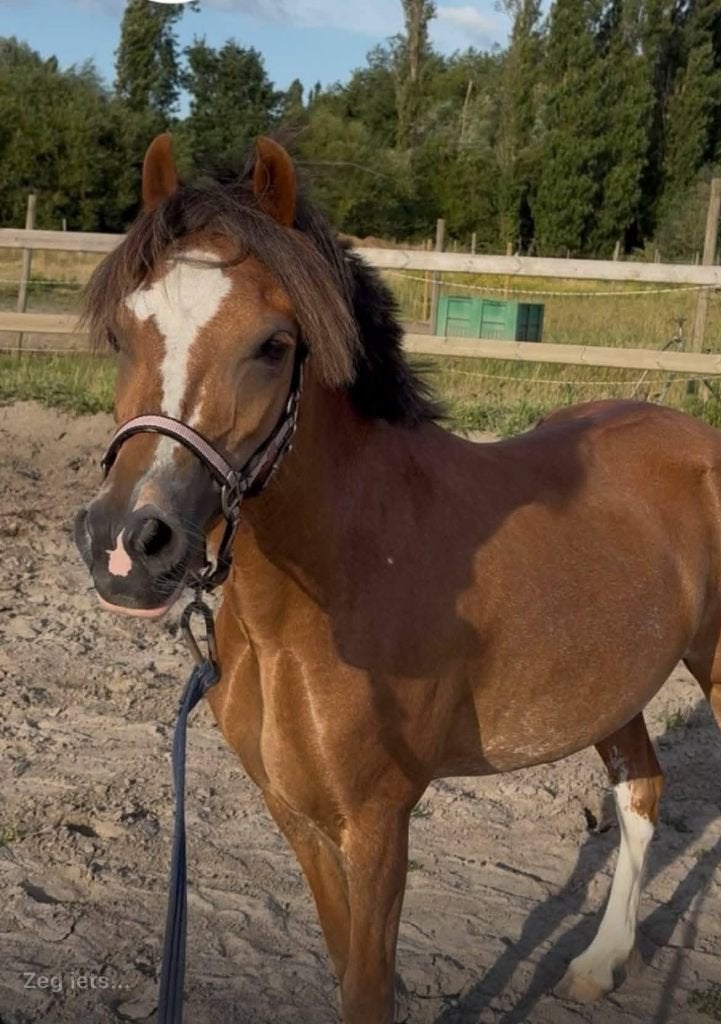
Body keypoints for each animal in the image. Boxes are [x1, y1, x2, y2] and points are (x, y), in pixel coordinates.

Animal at [74, 133, 721, 1024]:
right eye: (122, 333)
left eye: (273, 345)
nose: (127, 544)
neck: (317, 604)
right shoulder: (298, 818)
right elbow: (346, 965)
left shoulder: (378, 823)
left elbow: (367, 984)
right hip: (613, 689)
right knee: (640, 796)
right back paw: (597, 964)